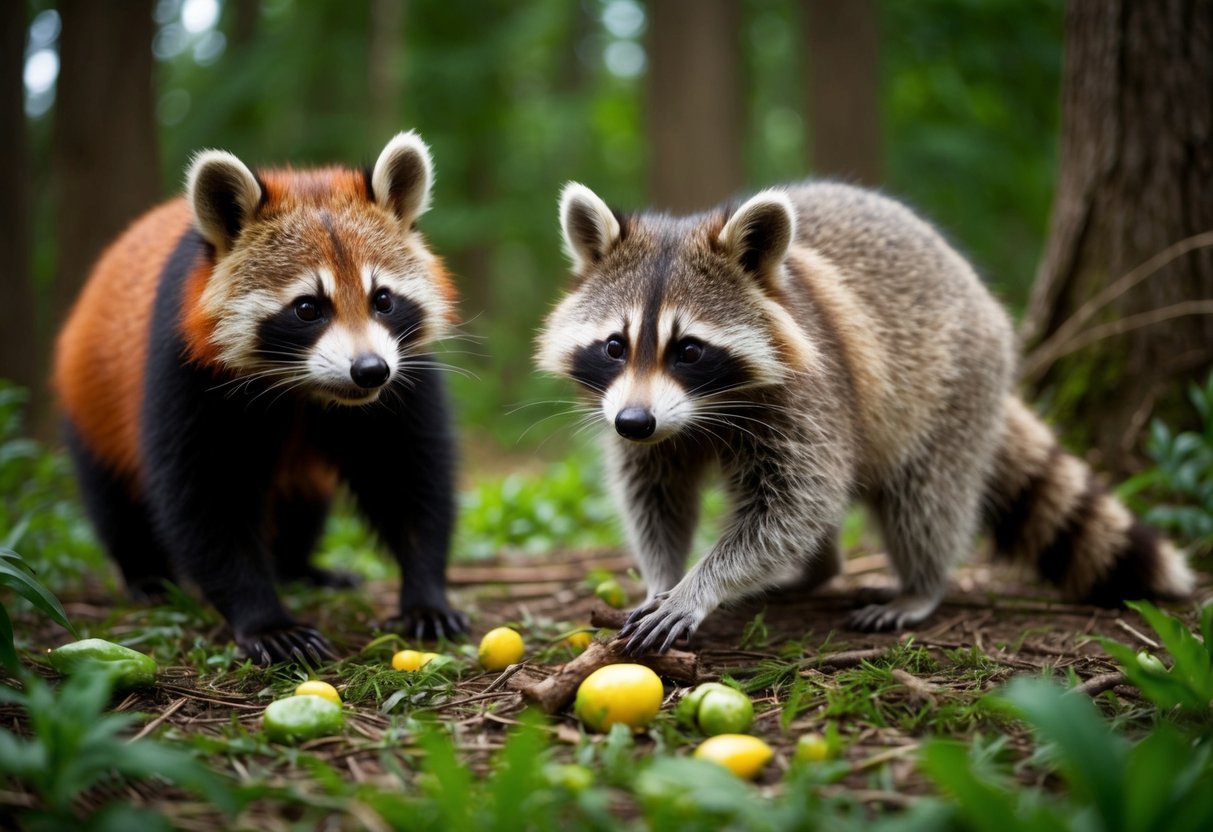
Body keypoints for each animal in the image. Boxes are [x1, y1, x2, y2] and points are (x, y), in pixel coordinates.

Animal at [537, 181, 1195, 654]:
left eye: (689, 350)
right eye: (615, 346)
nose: (634, 423)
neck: (699, 412)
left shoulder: (812, 392)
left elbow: (794, 506)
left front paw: (701, 585)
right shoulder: (641, 416)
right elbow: (656, 497)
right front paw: (662, 575)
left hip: (954, 385)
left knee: (924, 500)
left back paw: (921, 584)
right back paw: (818, 569)